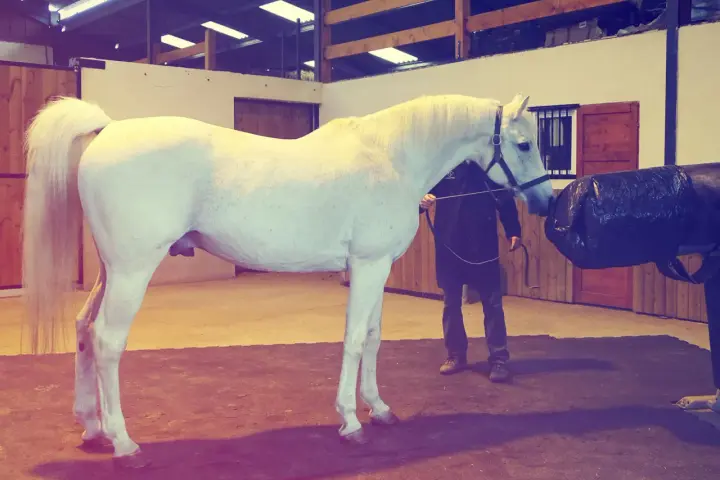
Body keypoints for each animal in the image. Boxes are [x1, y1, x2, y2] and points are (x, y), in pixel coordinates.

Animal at [21, 92, 553, 468]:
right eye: (524, 144)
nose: (546, 202)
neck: (391, 157)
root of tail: (108, 128)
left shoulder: (378, 265)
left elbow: (374, 337)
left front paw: (379, 409)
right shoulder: (366, 265)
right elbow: (354, 339)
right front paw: (350, 422)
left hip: (111, 271)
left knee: (84, 330)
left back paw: (92, 429)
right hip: (133, 271)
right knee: (108, 342)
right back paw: (124, 443)